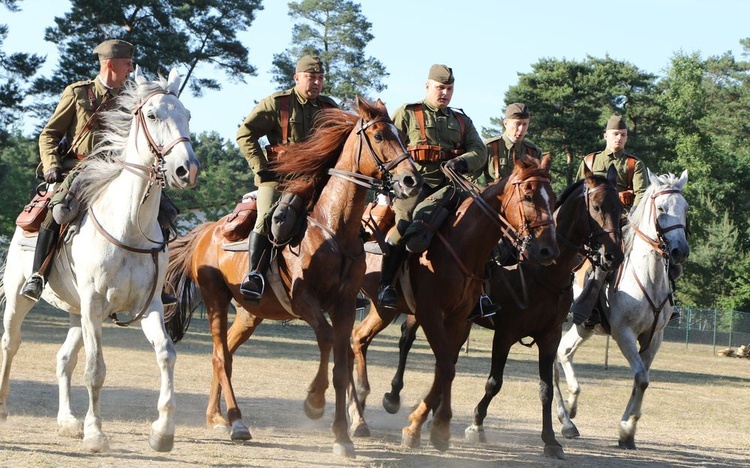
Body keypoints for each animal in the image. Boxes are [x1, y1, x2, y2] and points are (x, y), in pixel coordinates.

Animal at [0, 66, 200, 454]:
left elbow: (166, 354)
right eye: (152, 115)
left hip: (76, 312)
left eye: (187, 115)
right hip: (20, 298)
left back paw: (67, 421)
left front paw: (162, 432)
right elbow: (95, 370)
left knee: (64, 359)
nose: (186, 169)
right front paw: (95, 434)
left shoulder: (149, 306)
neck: (129, 227)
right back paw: (3, 407)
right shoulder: (94, 305)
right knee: (10, 344)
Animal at [164, 97, 424, 458]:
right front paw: (314, 402)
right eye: (379, 135)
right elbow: (326, 340)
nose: (412, 180)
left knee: (225, 356)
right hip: (216, 300)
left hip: (249, 314)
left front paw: (342, 436)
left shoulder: (345, 305)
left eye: (400, 134)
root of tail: (206, 231)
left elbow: (341, 367)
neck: (332, 228)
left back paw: (217, 417)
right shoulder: (304, 301)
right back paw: (237, 422)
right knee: (219, 354)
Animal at [358, 165, 624, 458]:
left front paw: (551, 441)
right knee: (404, 340)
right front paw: (475, 425)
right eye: (597, 207)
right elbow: (494, 382)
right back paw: (392, 399)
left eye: (621, 209)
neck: (540, 271)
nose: (614, 256)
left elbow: (545, 388)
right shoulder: (505, 332)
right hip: (398, 309)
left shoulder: (550, 335)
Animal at [556, 169, 692, 450]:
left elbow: (642, 379)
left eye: (685, 209)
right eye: (661, 208)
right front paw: (627, 429)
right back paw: (565, 419)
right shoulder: (623, 333)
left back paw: (570, 412)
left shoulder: (654, 337)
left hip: (583, 327)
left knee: (562, 352)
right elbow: (641, 377)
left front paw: (627, 429)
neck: (648, 277)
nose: (680, 251)